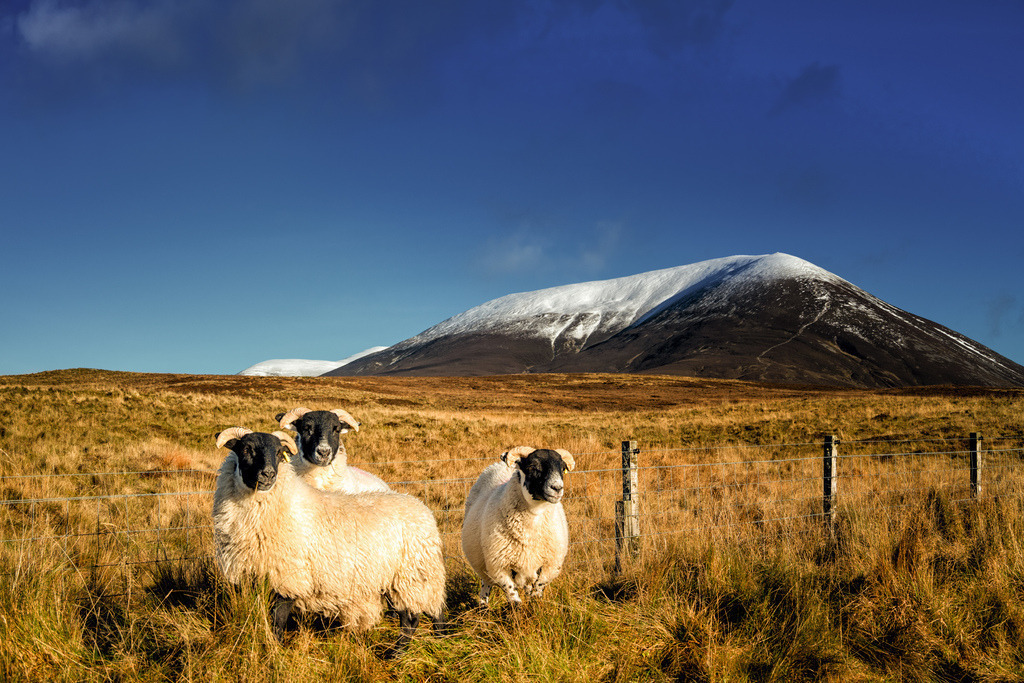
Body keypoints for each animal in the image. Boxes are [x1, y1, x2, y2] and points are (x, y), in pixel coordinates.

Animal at [212, 427, 445, 651]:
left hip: (411, 576)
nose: (268, 474)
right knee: (432, 611)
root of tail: (423, 510)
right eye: (246, 449)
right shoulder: (253, 576)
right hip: (408, 577)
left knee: (412, 619)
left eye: (278, 452)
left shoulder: (288, 577)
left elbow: (277, 619)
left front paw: (275, 648)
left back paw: (397, 654)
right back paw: (439, 641)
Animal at [460, 446, 576, 606]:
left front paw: (534, 607)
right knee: (486, 584)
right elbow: (512, 595)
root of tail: (499, 465)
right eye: (533, 466)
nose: (557, 488)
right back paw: (483, 606)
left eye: (562, 467)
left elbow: (538, 589)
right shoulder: (499, 565)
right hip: (483, 564)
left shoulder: (550, 565)